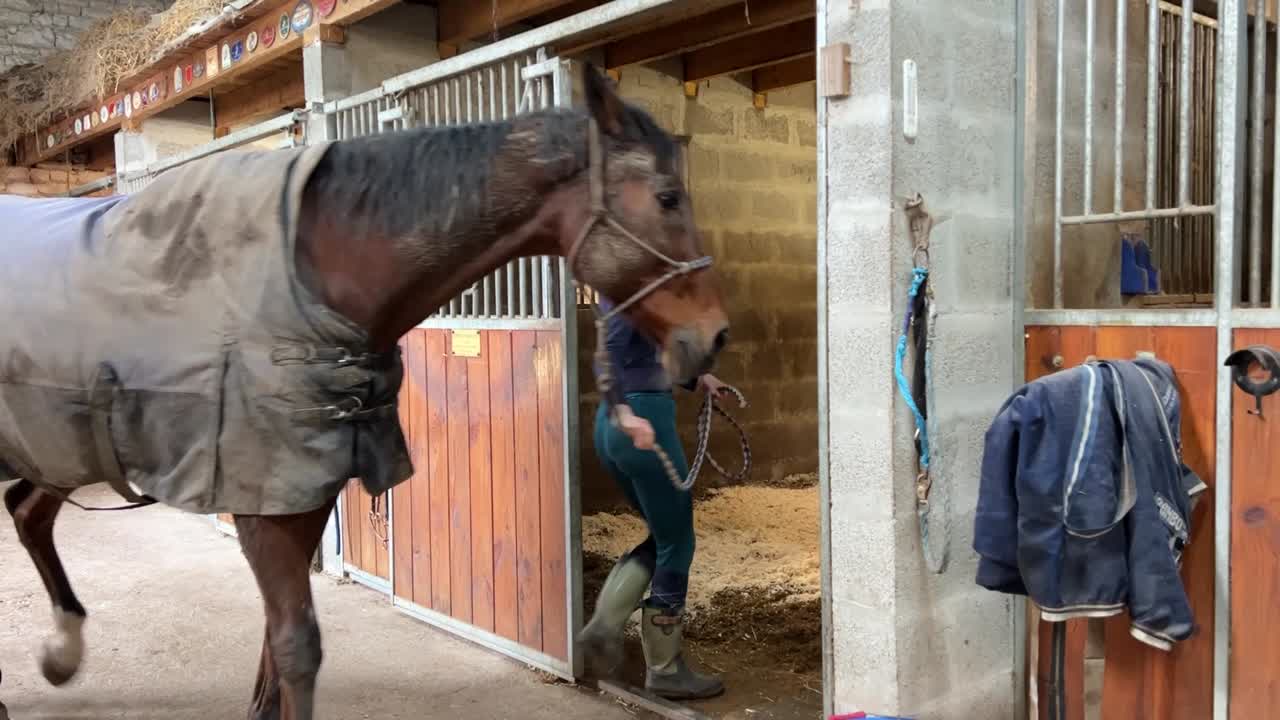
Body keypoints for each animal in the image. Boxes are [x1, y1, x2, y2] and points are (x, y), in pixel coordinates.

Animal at [0, 63, 727, 720]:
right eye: (668, 196)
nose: (715, 336)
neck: (310, 275)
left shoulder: (306, 494)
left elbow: (275, 649)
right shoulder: (263, 506)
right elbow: (296, 648)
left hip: (59, 446)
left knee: (27, 511)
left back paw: (61, 655)